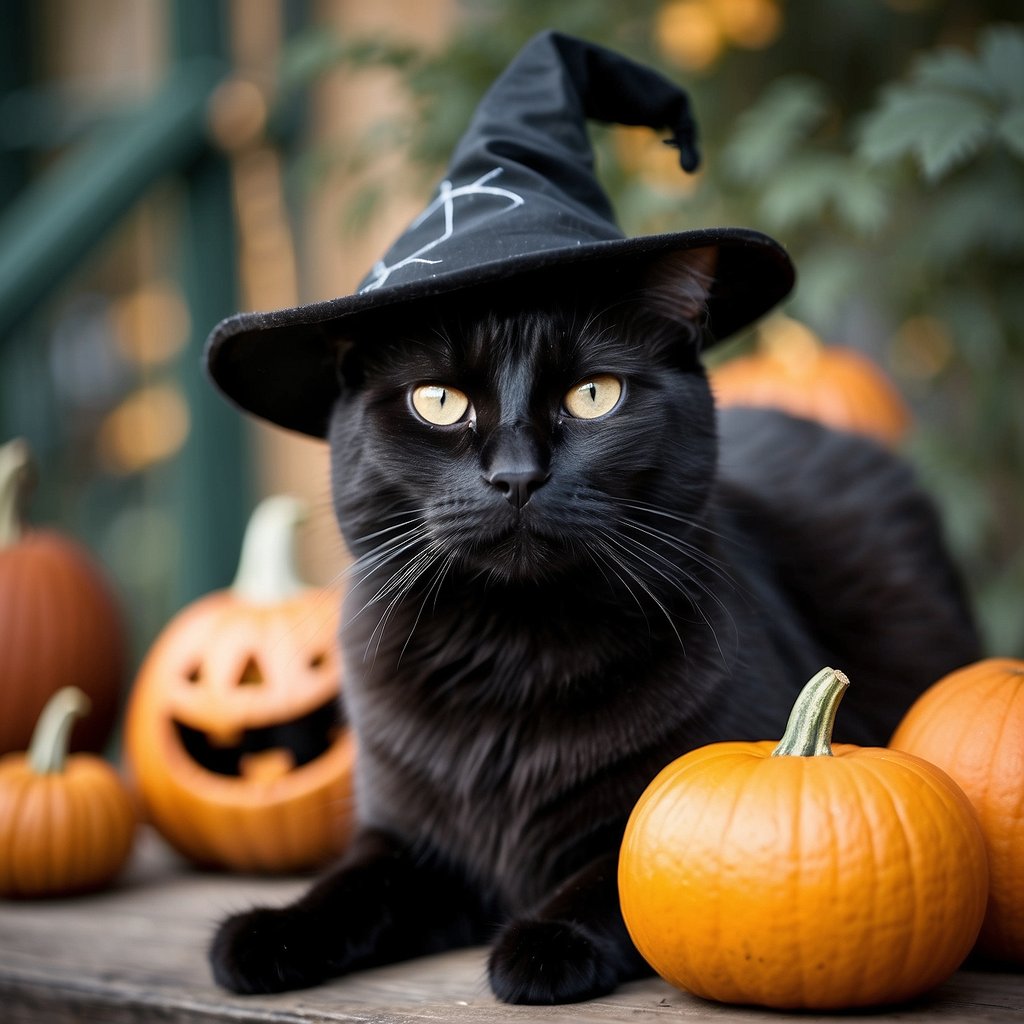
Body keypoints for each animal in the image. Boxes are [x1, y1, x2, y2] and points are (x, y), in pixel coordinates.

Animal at [205, 253, 974, 999]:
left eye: (594, 394)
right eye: (439, 402)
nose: (517, 476)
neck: (512, 652)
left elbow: (620, 873)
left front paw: (544, 945)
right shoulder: (409, 841)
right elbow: (352, 886)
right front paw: (269, 934)